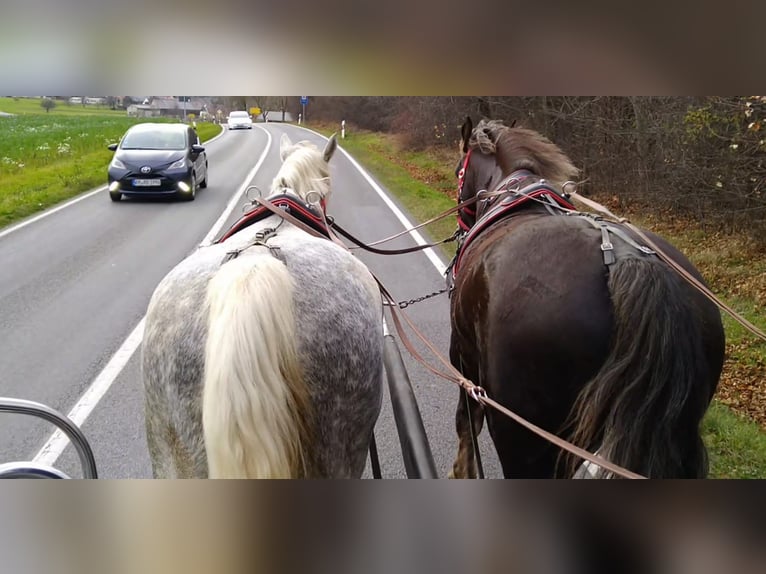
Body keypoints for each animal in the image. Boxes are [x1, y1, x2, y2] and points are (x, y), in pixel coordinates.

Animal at [449, 118, 726, 479]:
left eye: (459, 170)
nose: (461, 223)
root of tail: (628, 261)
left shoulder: (462, 355)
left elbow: (466, 421)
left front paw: (462, 469)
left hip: (523, 434)